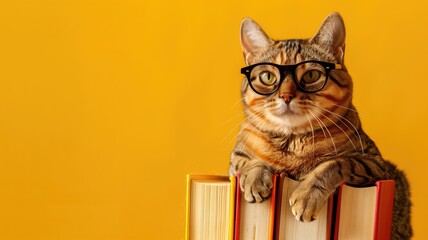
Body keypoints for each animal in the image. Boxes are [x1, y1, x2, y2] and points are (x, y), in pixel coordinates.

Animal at [229, 12, 412, 239]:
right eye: (268, 77)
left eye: (311, 75)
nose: (286, 95)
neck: (292, 143)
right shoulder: (235, 158)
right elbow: (248, 161)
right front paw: (255, 178)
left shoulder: (375, 165)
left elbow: (336, 163)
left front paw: (307, 195)